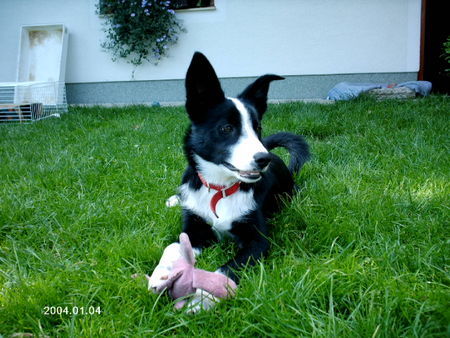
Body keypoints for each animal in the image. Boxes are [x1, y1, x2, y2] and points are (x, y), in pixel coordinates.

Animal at [149, 51, 310, 310]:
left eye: (258, 127)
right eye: (226, 128)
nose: (263, 159)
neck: (220, 189)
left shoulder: (258, 241)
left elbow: (227, 269)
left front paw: (202, 297)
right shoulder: (194, 228)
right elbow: (173, 245)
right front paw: (161, 275)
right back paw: (174, 199)